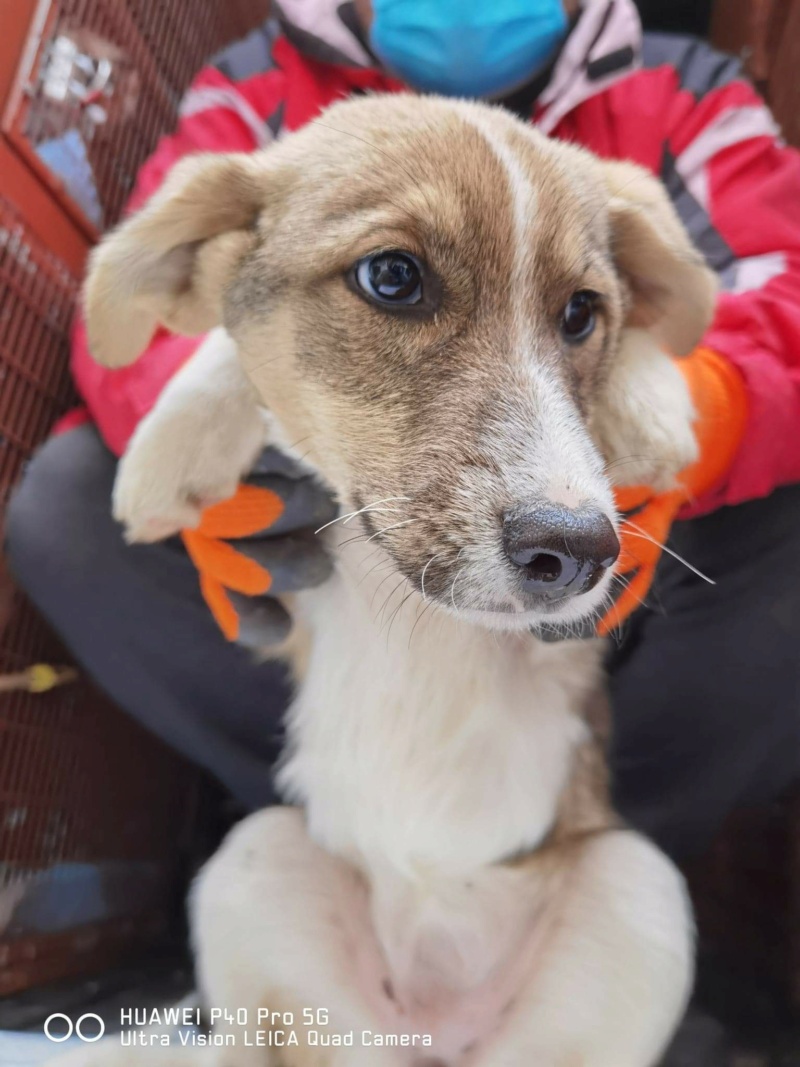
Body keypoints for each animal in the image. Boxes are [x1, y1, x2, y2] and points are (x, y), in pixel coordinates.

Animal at [67, 96, 721, 1062]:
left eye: (581, 312)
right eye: (392, 277)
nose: (578, 549)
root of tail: (433, 1019)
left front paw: (651, 405)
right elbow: (228, 338)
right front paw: (171, 445)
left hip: (637, 888)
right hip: (255, 865)